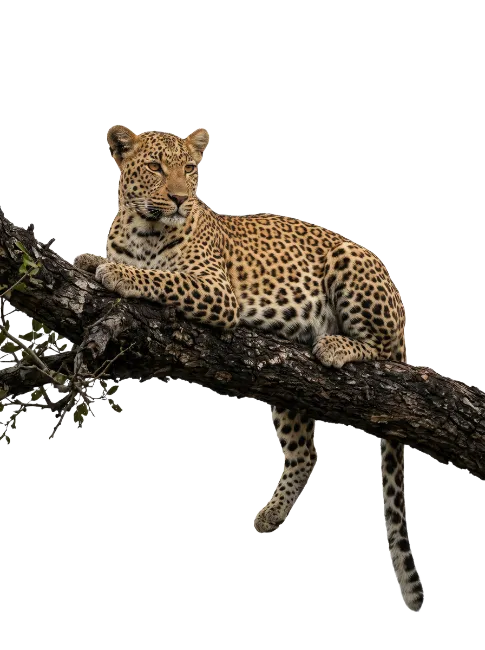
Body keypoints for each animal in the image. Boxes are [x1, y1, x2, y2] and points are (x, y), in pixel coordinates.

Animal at [74, 125, 424, 612]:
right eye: (156, 167)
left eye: (189, 168)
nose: (179, 199)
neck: (145, 227)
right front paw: (91, 259)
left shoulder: (216, 292)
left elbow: (163, 278)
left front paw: (118, 273)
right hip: (288, 386)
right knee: (305, 451)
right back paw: (270, 516)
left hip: (352, 268)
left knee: (384, 352)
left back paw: (335, 344)